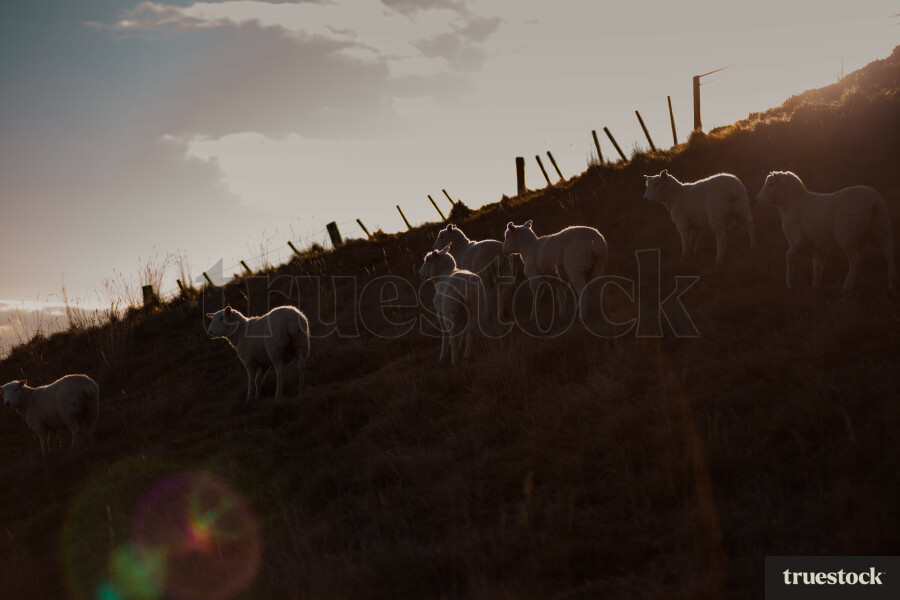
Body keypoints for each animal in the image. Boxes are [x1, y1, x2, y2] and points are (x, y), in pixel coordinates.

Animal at [754, 171, 897, 291]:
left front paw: (790, 282)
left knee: (855, 261)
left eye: (772, 184)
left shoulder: (799, 241)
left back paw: (846, 286)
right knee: (889, 253)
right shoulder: (819, 246)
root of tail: (873, 199)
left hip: (847, 235)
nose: (756, 200)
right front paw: (815, 286)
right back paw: (892, 283)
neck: (792, 204)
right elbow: (817, 265)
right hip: (881, 229)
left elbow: (788, 256)